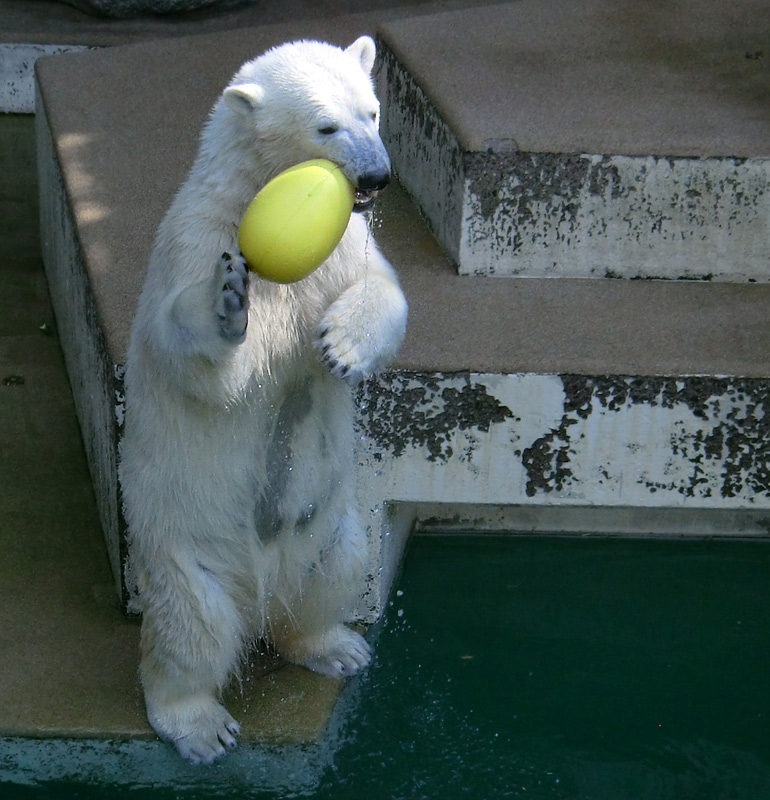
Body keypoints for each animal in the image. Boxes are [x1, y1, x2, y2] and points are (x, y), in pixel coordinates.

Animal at [118, 36, 408, 764]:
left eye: (372, 111)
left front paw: (341, 346)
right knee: (191, 630)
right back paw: (200, 724)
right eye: (326, 126)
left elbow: (382, 290)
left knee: (334, 578)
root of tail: (263, 593)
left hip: (331, 528)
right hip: (182, 552)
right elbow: (202, 363)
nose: (377, 177)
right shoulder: (196, 240)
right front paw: (226, 305)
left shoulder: (346, 247)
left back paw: (335, 646)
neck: (258, 191)